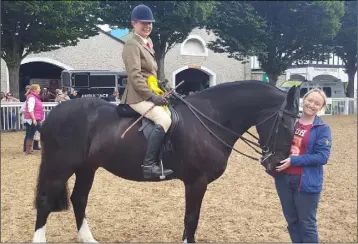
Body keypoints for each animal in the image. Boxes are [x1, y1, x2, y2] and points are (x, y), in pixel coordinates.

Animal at [31, 80, 300, 242]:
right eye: (286, 123)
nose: (277, 163)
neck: (210, 120)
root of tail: (54, 113)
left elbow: (191, 219)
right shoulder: (196, 182)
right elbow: (191, 218)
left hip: (87, 167)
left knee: (79, 199)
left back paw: (87, 238)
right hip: (60, 166)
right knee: (45, 202)